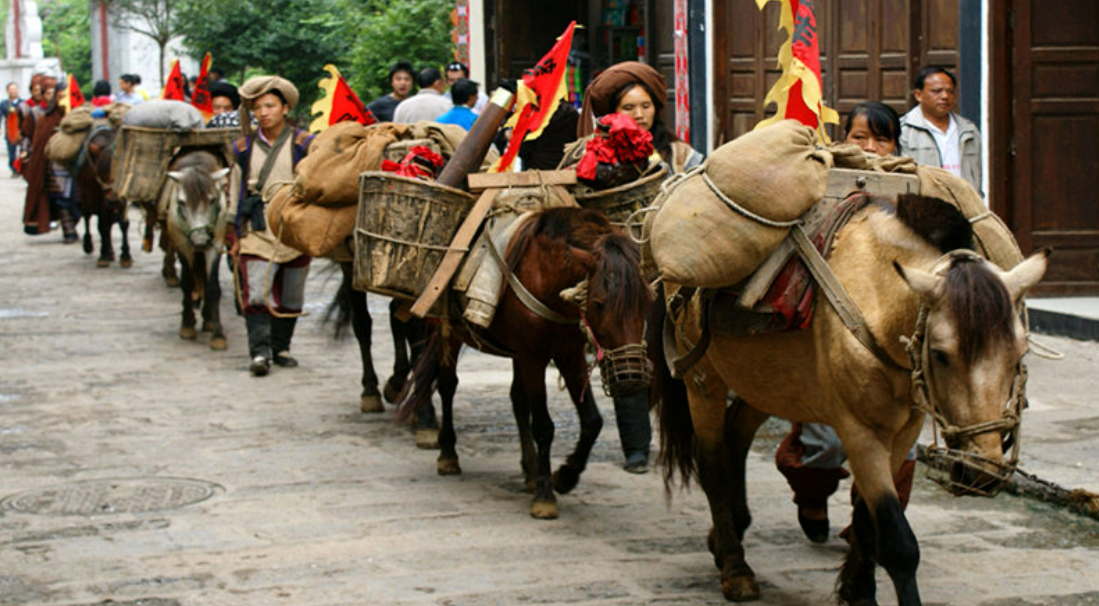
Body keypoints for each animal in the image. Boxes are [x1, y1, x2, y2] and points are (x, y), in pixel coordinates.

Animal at [400, 206, 650, 519]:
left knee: (517, 398)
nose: (631, 378)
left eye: (647, 301)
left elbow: (592, 420)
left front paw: (564, 477)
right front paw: (545, 495)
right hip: (447, 331)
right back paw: (448, 455)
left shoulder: (568, 353)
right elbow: (543, 425)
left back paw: (530, 471)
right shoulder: (534, 356)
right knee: (447, 385)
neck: (547, 276)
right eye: (598, 303)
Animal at [650, 195, 1046, 606]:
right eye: (940, 354)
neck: (879, 302)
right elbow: (898, 541)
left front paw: (857, 591)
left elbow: (867, 521)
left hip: (767, 382)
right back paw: (734, 566)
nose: (980, 472)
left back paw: (728, 532)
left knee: (736, 438)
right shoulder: (861, 434)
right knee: (711, 461)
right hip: (703, 381)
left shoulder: (904, 432)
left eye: (1019, 353)